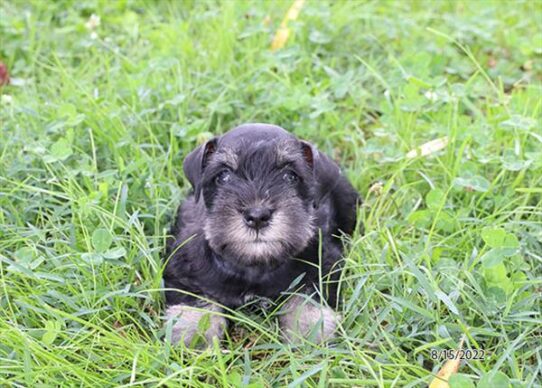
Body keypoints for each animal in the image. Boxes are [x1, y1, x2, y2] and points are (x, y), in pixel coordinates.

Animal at [166, 123, 362, 346]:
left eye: (290, 176)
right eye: (223, 176)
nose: (257, 216)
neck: (254, 266)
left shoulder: (324, 265)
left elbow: (305, 299)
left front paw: (308, 336)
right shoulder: (183, 269)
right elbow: (197, 302)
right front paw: (194, 337)